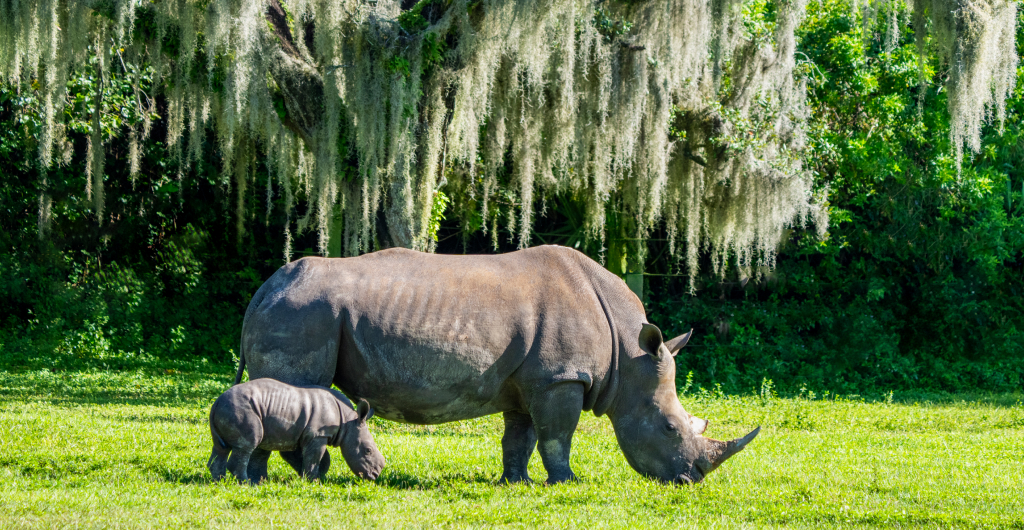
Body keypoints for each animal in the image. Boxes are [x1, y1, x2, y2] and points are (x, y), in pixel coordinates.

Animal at [235, 245, 758, 484]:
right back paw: (284, 479)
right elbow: (557, 437)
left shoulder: (531, 381)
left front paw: (516, 482)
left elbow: (520, 438)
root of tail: (265, 288)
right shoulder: (560, 378)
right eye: (670, 427)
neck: (627, 356)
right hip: (305, 313)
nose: (690, 480)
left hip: (300, 310)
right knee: (295, 391)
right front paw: (566, 483)